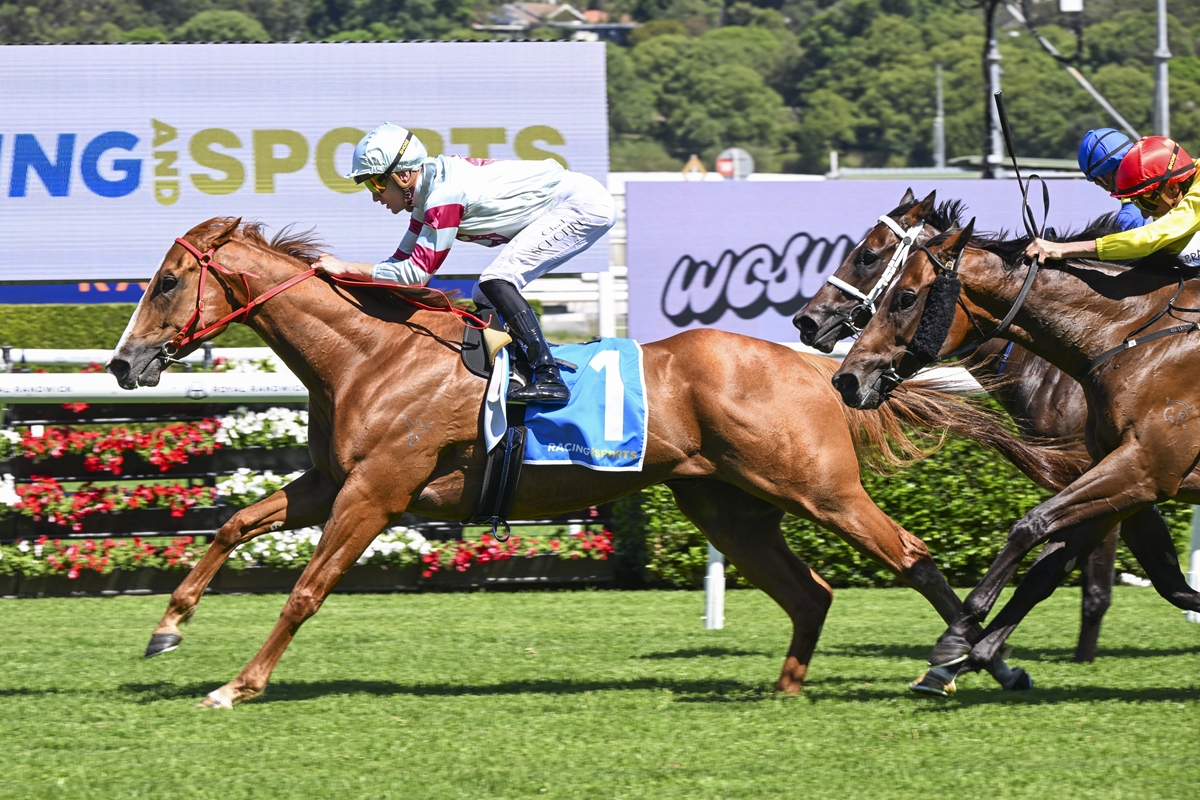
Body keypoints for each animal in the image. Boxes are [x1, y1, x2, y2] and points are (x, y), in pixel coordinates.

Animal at [104, 217, 1075, 708]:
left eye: (165, 282)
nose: (124, 362)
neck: (371, 354)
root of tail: (813, 368)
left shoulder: (377, 491)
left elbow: (306, 589)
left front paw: (238, 684)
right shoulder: (332, 482)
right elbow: (233, 524)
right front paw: (166, 628)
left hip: (820, 490)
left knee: (912, 557)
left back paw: (975, 663)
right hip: (727, 505)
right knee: (811, 593)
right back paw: (787, 689)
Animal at [830, 218, 1200, 695]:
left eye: (905, 295)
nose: (847, 379)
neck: (1128, 338)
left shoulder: (1143, 466)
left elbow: (1033, 527)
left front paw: (957, 638)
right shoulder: (1128, 479)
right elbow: (1060, 569)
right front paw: (966, 658)